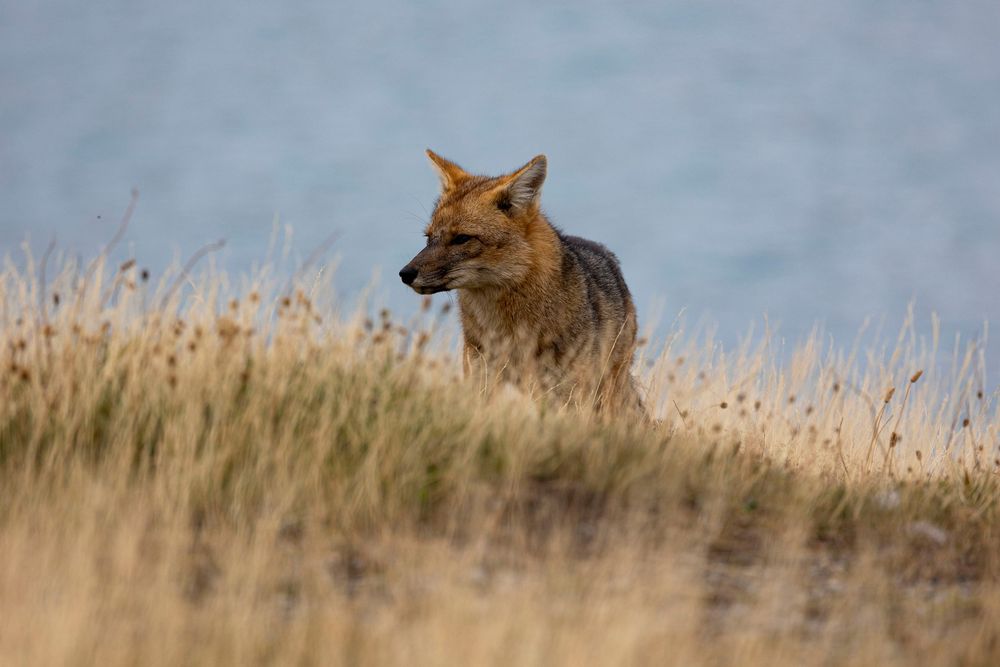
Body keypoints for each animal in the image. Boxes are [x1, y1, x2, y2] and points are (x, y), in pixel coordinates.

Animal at [399, 150, 644, 416]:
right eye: (429, 238)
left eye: (462, 238)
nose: (405, 273)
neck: (507, 325)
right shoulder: (481, 376)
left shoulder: (566, 391)